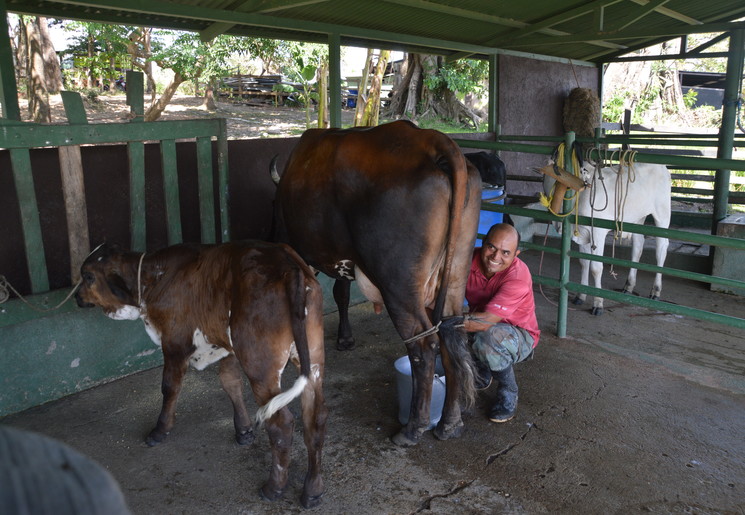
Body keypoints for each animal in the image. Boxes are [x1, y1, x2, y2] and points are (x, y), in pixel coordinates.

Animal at [74, 241, 327, 508]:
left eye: (88, 276)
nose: (77, 297)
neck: (153, 278)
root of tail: (289, 266)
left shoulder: (174, 343)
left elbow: (170, 387)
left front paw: (160, 430)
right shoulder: (226, 346)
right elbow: (230, 382)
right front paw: (244, 430)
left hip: (261, 366)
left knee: (281, 423)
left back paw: (274, 487)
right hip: (312, 359)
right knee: (315, 418)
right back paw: (313, 490)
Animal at [270, 120, 482, 447]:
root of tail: (431, 140)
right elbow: (341, 292)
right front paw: (345, 338)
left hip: (398, 283)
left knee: (423, 344)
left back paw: (413, 428)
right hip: (456, 271)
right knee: (451, 335)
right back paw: (450, 423)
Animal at [545, 161, 671, 315]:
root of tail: (662, 167)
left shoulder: (597, 233)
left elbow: (596, 268)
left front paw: (598, 304)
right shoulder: (582, 233)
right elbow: (584, 263)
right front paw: (580, 296)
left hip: (663, 214)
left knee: (661, 249)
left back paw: (656, 291)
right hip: (636, 218)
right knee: (638, 245)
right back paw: (628, 286)